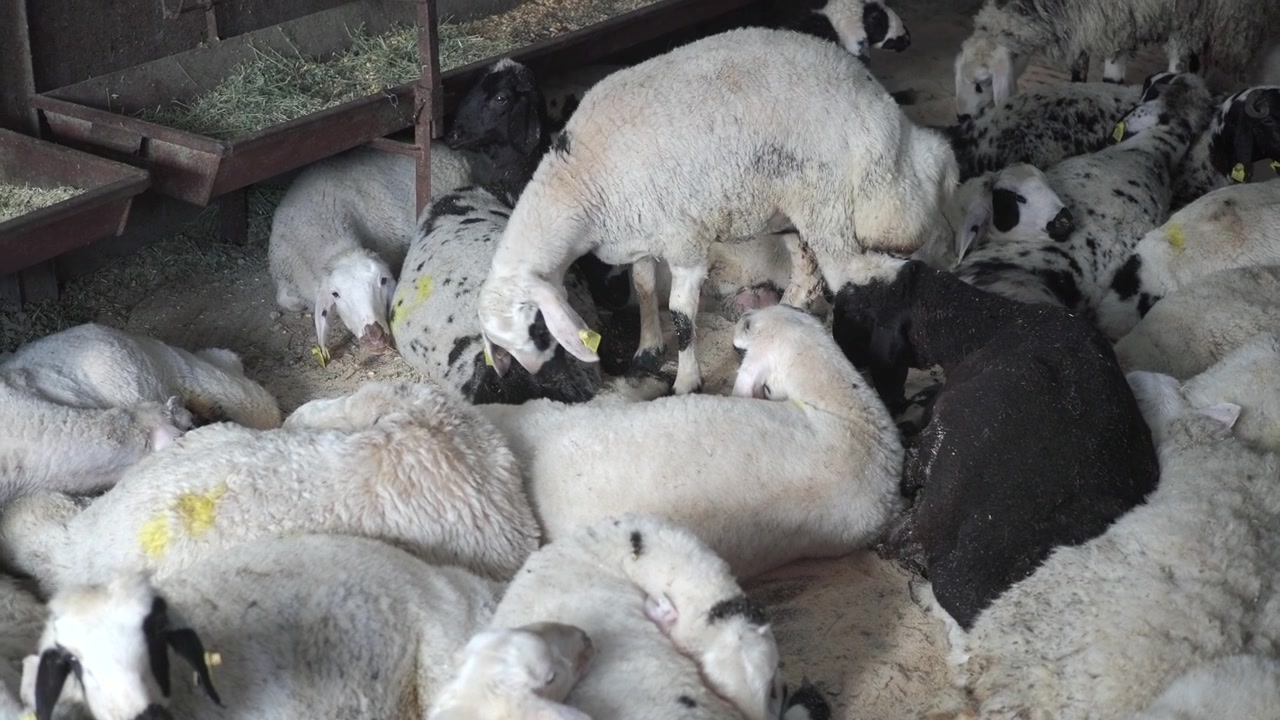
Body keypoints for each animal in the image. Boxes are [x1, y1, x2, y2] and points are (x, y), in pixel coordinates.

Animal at [478, 26, 958, 396]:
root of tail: (889, 117)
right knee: (808, 269)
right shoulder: (641, 235)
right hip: (785, 206)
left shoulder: (685, 241)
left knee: (867, 274)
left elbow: (681, 315)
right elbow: (645, 288)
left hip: (840, 207)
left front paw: (687, 381)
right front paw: (646, 349)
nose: (539, 375)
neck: (580, 181)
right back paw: (784, 314)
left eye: (536, 327)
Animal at [952, 0, 1280, 119]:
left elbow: (1112, 80)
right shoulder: (1085, 23)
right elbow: (1079, 72)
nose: (962, 118)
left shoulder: (1116, 21)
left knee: (1179, 62)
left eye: (982, 83)